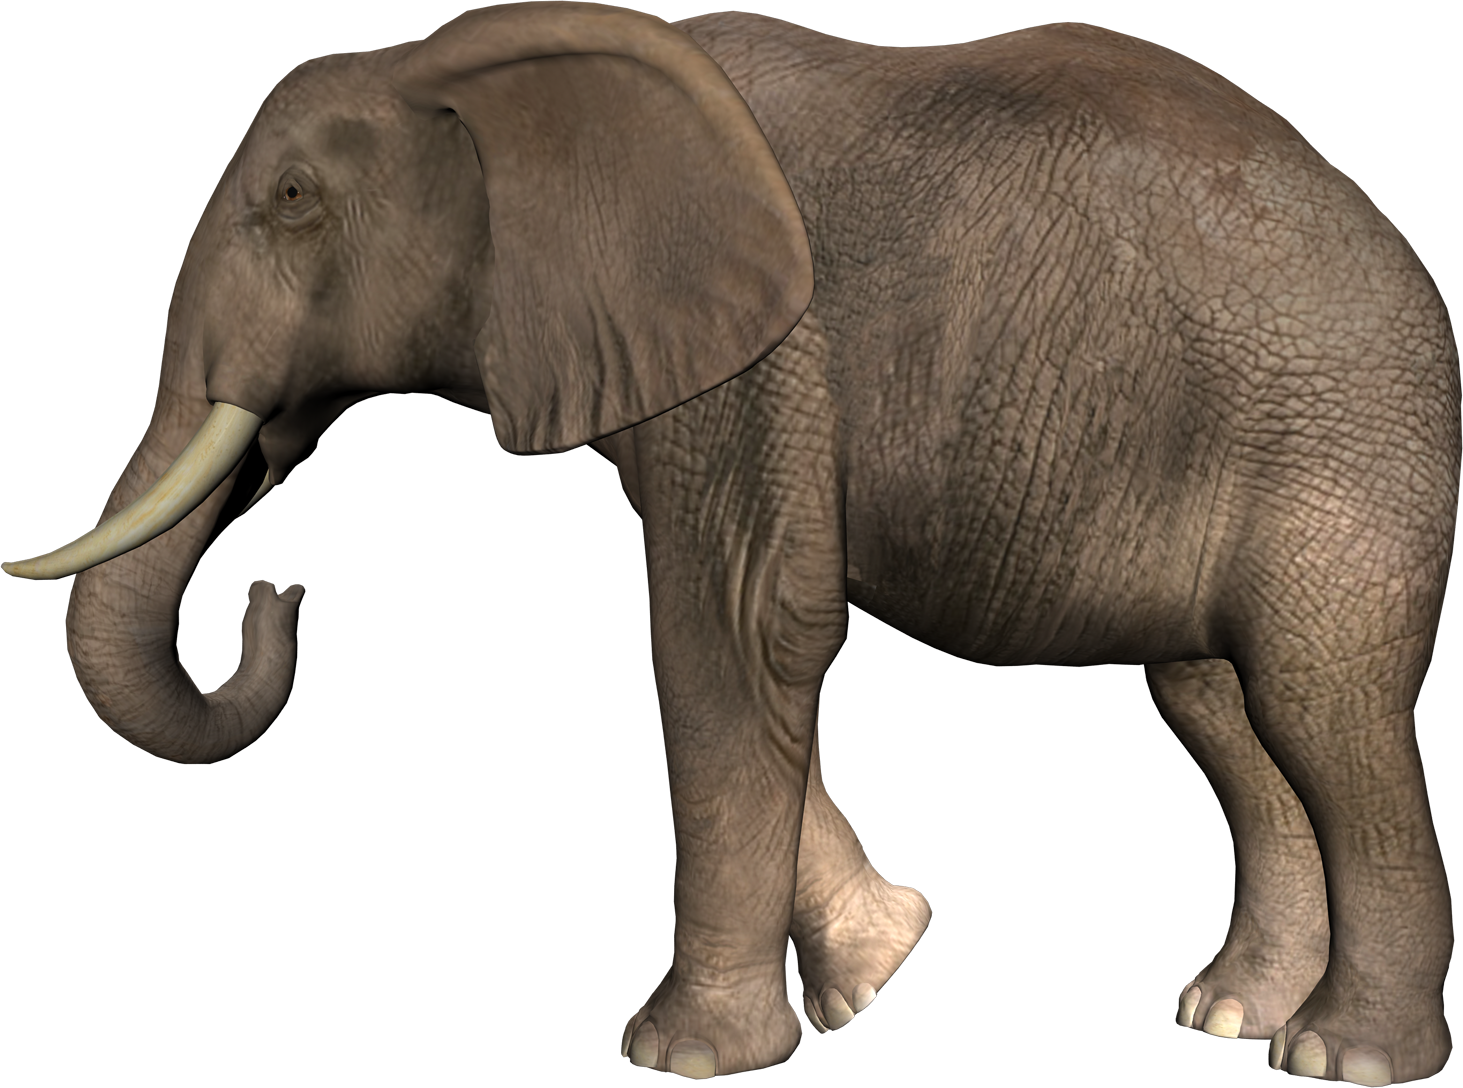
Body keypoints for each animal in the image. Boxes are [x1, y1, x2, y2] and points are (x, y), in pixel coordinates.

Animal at [6, 4, 1456, 1082]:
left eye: (296, 199)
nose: (280, 590)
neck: (468, 64)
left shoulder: (764, 364)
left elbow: (739, 629)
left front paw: (678, 1053)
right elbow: (746, 642)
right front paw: (872, 972)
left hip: (1338, 453)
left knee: (1312, 706)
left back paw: (1335, 1057)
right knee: (1217, 703)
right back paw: (1229, 1016)